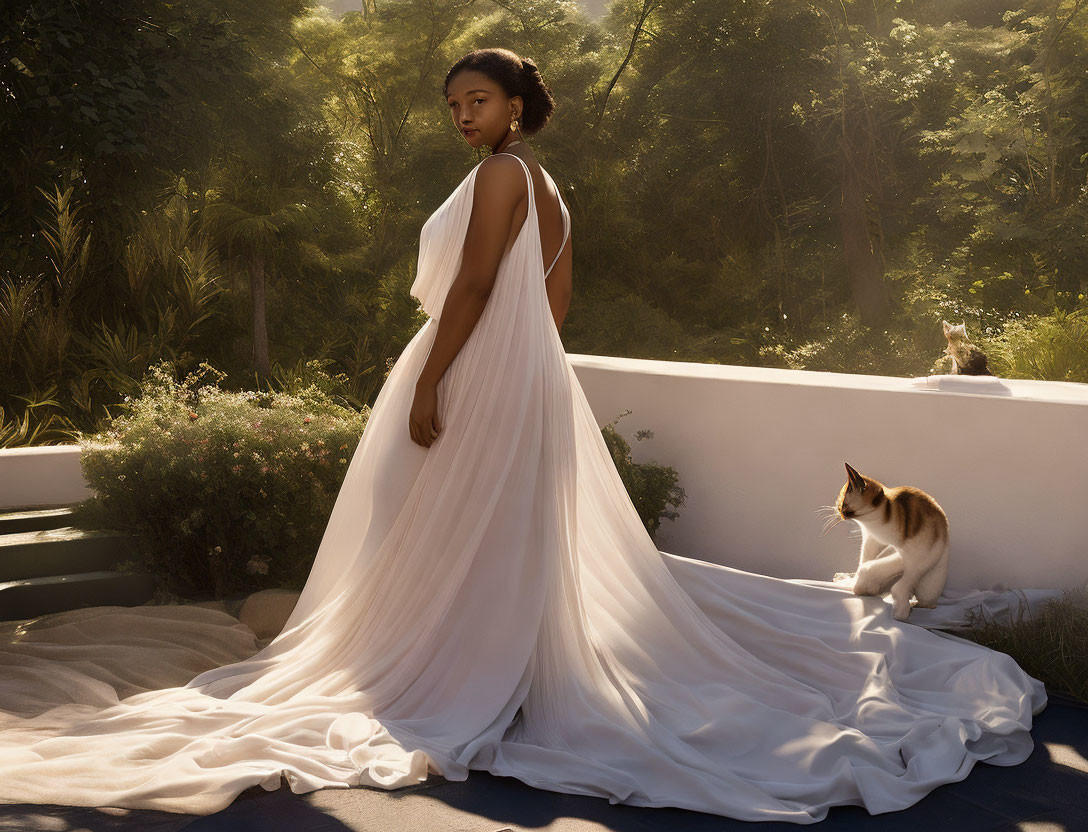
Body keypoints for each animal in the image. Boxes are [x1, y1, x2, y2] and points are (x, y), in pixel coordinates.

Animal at [826, 463, 948, 622]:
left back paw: (902, 609)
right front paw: (856, 583)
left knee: (909, 588)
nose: (838, 512)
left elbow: (869, 568)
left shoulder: (915, 553)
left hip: (926, 576)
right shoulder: (872, 540)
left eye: (842, 504)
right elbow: (864, 563)